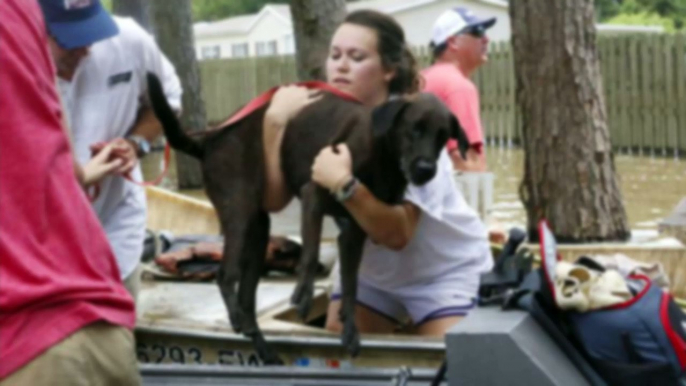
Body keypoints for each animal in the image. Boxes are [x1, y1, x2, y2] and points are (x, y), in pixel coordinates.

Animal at [147, 73, 470, 364]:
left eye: (443, 136)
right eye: (414, 129)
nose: (426, 170)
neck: (383, 156)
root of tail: (208, 141)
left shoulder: (354, 232)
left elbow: (351, 284)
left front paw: (350, 329)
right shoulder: (313, 193)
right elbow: (312, 251)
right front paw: (303, 295)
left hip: (258, 230)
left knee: (247, 298)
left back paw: (261, 344)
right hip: (240, 209)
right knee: (225, 275)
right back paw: (238, 318)